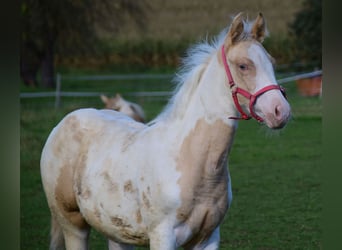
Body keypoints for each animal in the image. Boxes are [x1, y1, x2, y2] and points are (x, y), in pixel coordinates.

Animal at [40, 13, 292, 250]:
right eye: (243, 65)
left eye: (272, 62)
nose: (280, 111)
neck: (193, 163)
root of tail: (64, 123)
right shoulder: (162, 236)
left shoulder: (208, 238)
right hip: (73, 224)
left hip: (115, 229)